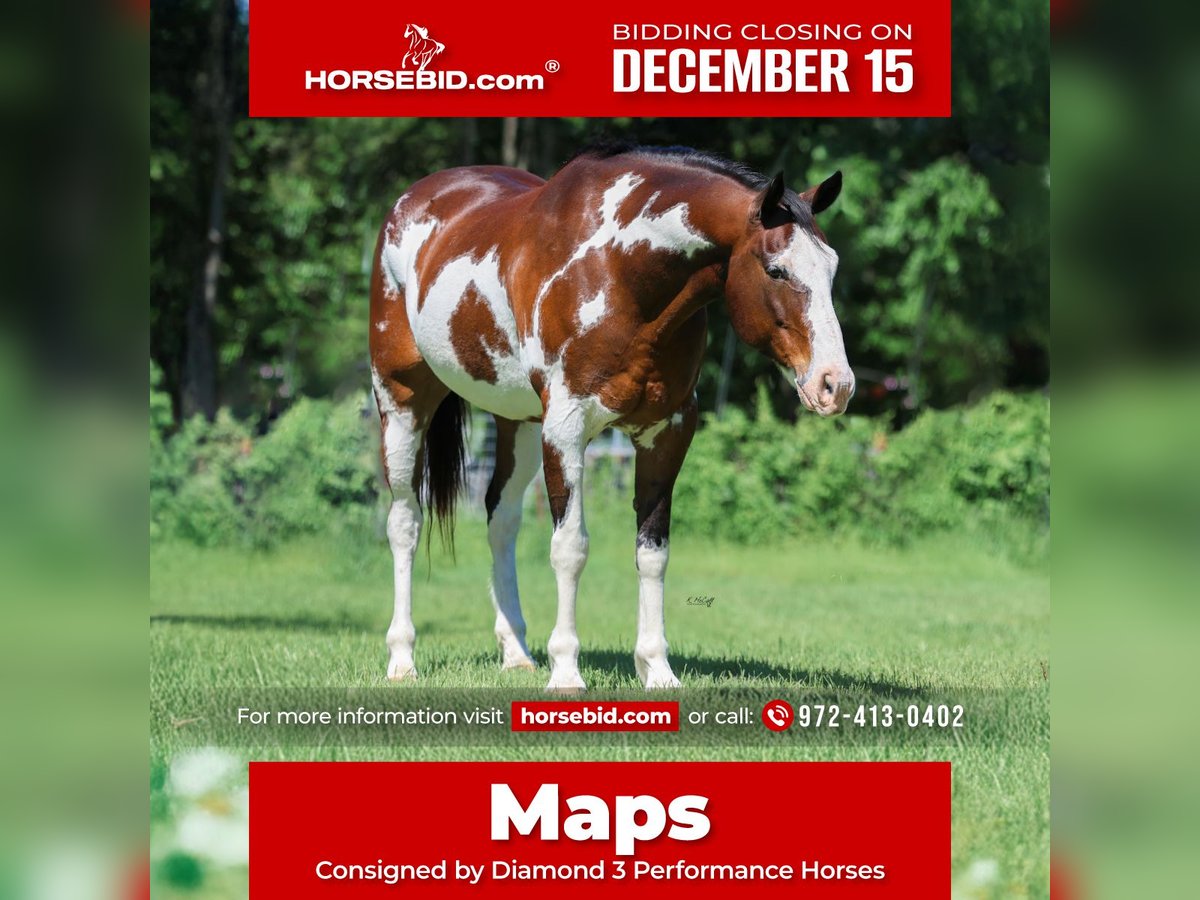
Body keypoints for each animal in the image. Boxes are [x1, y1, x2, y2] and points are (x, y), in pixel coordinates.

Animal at [368, 144, 853, 692]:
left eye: (831, 267)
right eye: (776, 270)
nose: (836, 384)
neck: (622, 272)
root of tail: (414, 199)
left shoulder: (667, 431)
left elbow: (652, 552)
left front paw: (657, 669)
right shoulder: (567, 427)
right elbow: (570, 547)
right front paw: (566, 671)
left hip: (519, 422)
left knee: (501, 517)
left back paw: (516, 652)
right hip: (401, 401)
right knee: (405, 522)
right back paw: (402, 659)